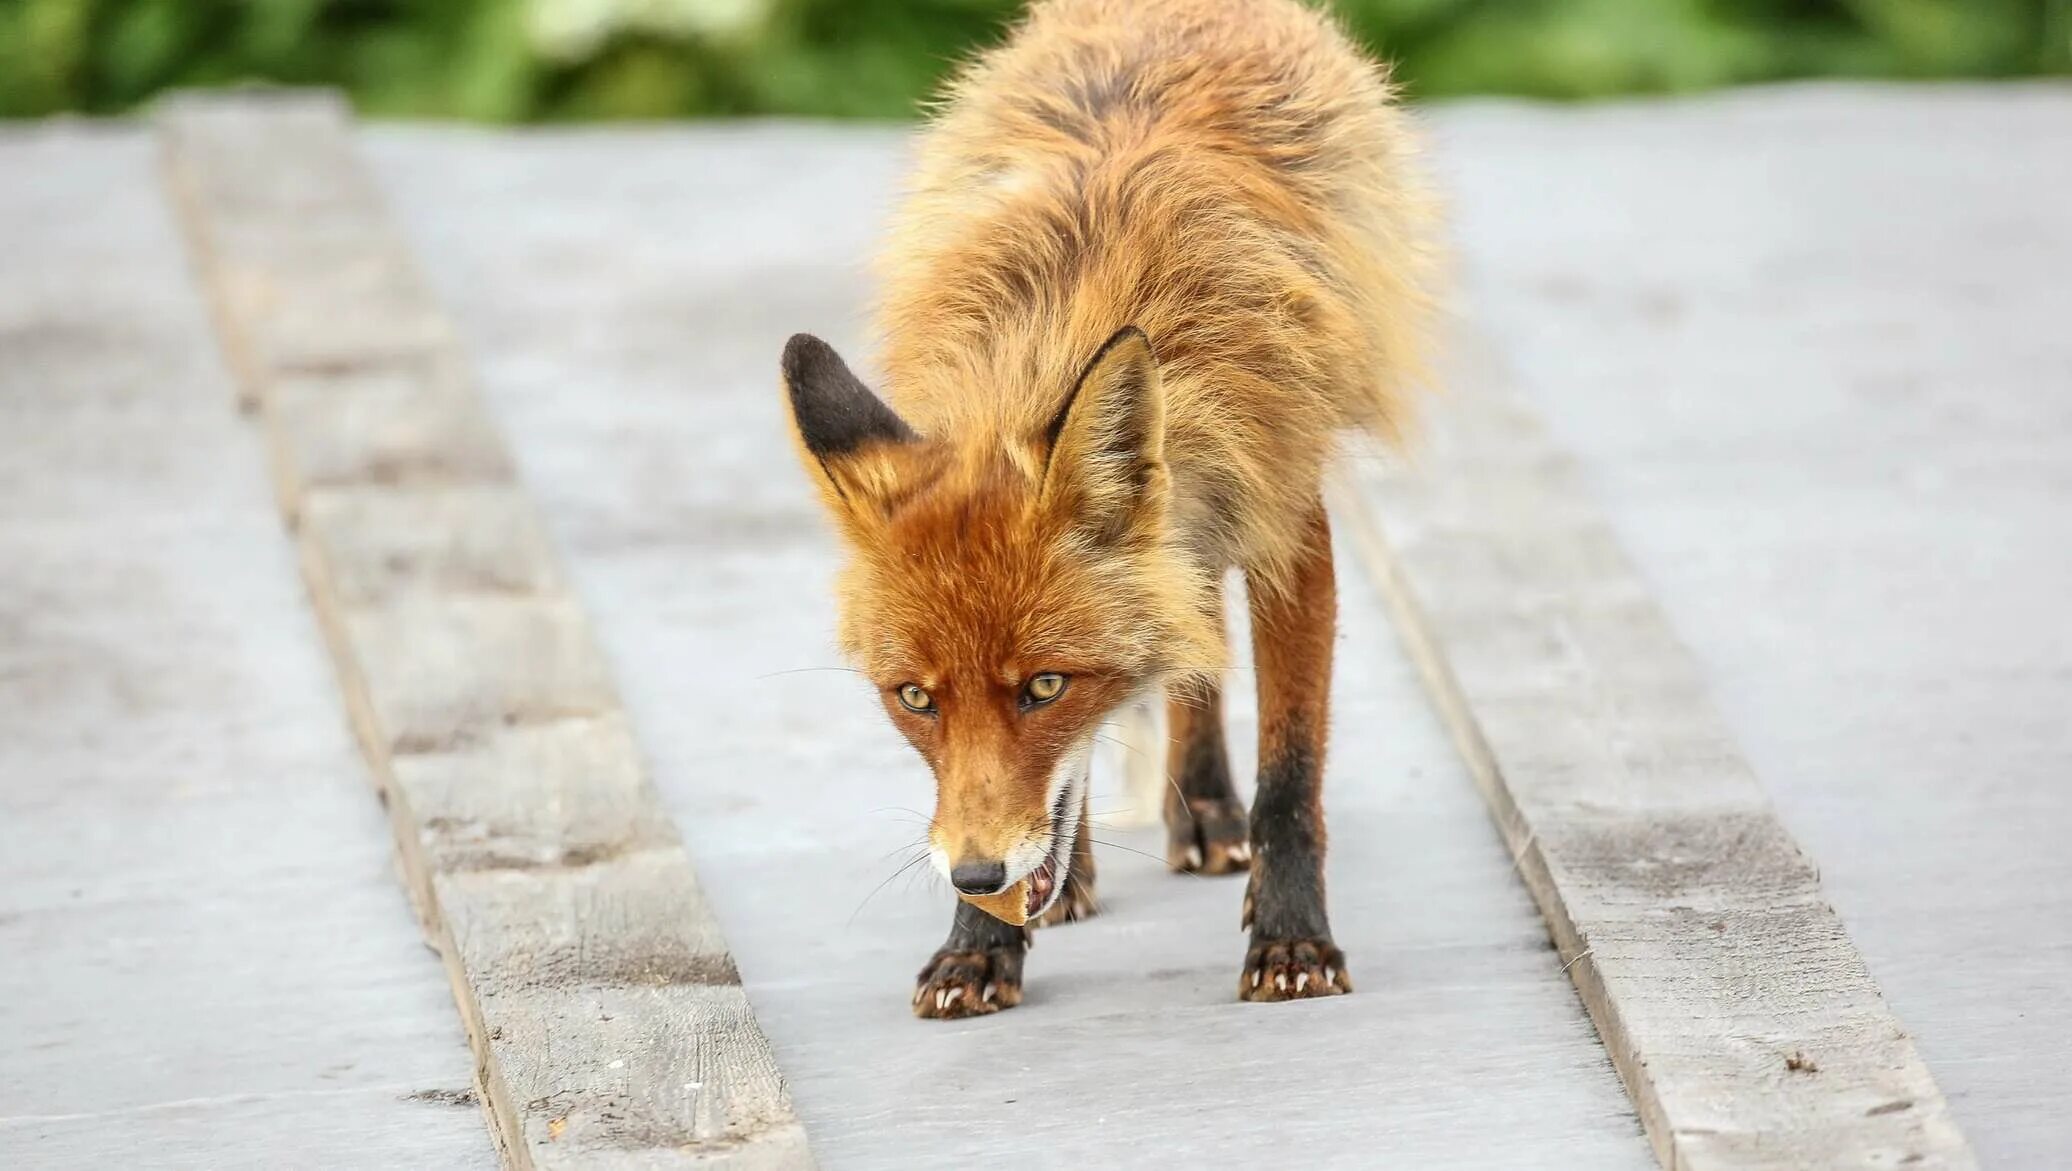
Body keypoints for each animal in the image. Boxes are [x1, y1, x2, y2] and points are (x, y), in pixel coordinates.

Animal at [779, 0, 1442, 1015]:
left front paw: (1292, 938)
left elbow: (1289, 777)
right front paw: (983, 941)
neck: (1080, 302)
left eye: (1045, 686)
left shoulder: (1286, 521)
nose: (974, 876)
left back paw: (1204, 809)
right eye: (915, 698)